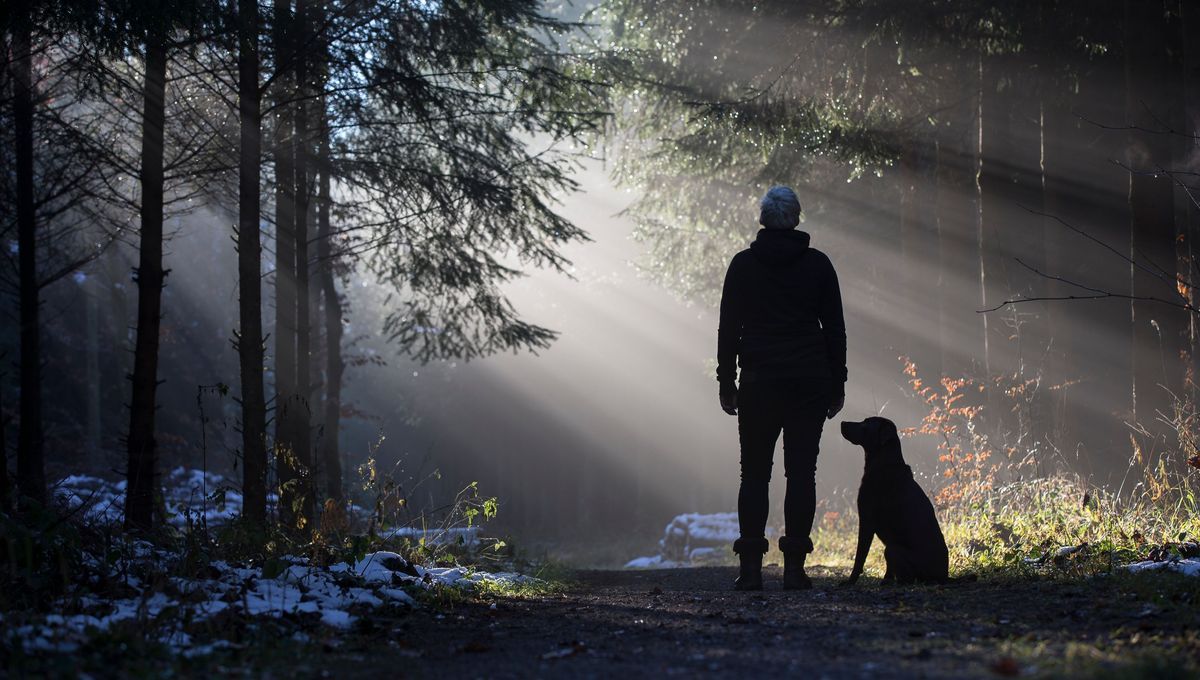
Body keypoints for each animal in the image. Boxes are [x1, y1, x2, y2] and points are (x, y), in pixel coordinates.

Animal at [840, 414, 950, 585]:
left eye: (866, 424)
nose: (842, 422)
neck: (884, 463)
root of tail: (943, 577)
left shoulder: (866, 519)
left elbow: (860, 557)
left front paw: (850, 581)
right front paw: (885, 580)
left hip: (892, 549)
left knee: (908, 578)